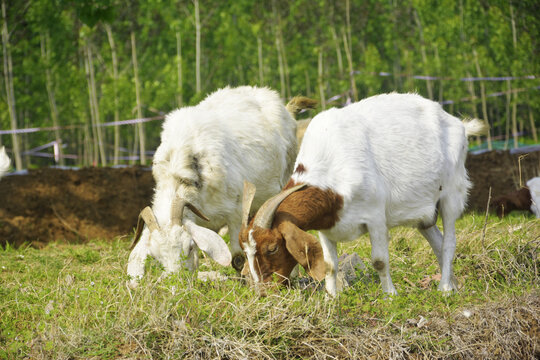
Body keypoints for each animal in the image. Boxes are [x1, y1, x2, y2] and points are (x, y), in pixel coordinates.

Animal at [127, 84, 316, 286]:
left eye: (190, 247)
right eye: (155, 257)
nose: (178, 282)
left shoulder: (235, 212)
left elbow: (238, 258)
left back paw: (291, 275)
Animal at [240, 92, 490, 296]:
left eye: (272, 248)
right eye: (246, 251)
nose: (262, 292)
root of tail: (458, 124)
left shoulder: (375, 217)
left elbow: (379, 261)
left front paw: (390, 296)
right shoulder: (325, 225)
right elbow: (330, 265)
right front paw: (332, 298)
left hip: (451, 193)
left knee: (449, 242)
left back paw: (445, 289)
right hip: (424, 214)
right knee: (437, 242)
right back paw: (453, 285)